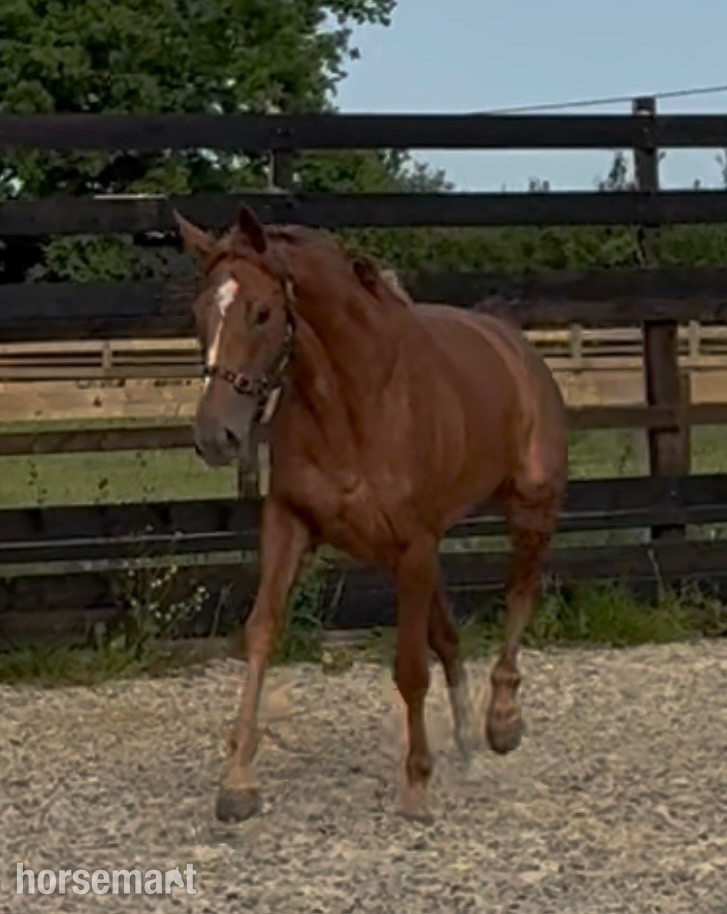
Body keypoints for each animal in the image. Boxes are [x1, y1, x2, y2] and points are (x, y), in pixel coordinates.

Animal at [174, 205, 568, 823]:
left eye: (262, 312)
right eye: (199, 314)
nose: (217, 437)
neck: (357, 401)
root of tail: (514, 345)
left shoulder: (414, 543)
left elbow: (409, 667)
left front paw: (416, 786)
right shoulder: (291, 524)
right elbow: (261, 634)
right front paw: (236, 784)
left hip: (529, 508)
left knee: (520, 595)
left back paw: (502, 723)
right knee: (448, 633)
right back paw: (465, 741)